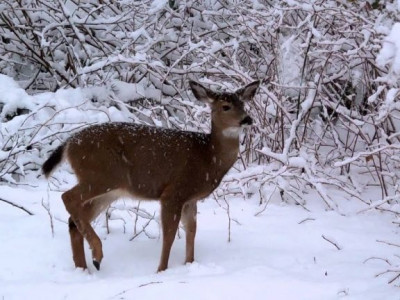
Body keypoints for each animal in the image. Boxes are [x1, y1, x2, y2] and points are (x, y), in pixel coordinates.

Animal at [41, 79, 260, 272]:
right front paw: (161, 270)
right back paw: (97, 253)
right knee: (67, 197)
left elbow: (191, 231)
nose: (247, 119)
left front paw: (189, 264)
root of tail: (69, 144)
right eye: (225, 106)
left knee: (73, 221)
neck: (207, 157)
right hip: (99, 176)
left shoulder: (191, 199)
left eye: (243, 104)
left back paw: (86, 267)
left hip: (108, 191)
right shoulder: (173, 192)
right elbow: (169, 235)